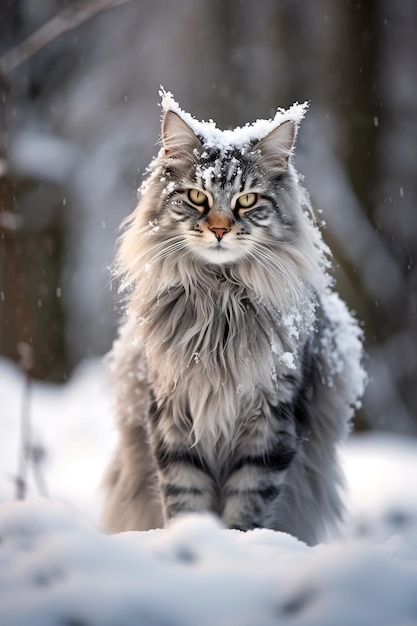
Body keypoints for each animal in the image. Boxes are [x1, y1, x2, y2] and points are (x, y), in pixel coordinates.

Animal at [101, 90, 364, 544]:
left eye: (247, 201)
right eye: (197, 198)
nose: (221, 230)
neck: (219, 301)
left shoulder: (270, 424)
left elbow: (249, 504)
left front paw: (239, 548)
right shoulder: (173, 417)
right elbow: (185, 498)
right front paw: (192, 542)